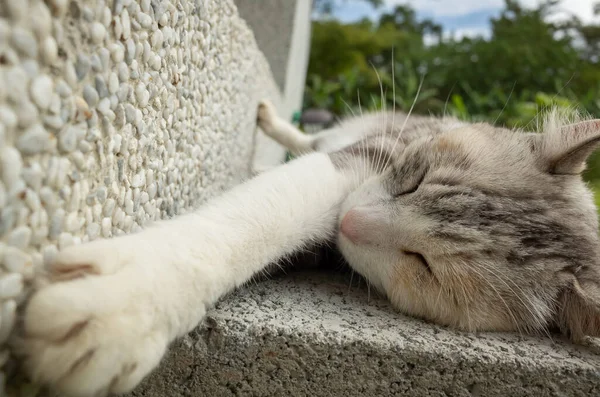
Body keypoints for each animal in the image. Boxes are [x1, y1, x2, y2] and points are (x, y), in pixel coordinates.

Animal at [12, 100, 600, 396]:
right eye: (413, 180)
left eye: (425, 267)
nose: (349, 222)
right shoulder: (364, 159)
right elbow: (270, 208)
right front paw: (134, 299)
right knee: (309, 139)